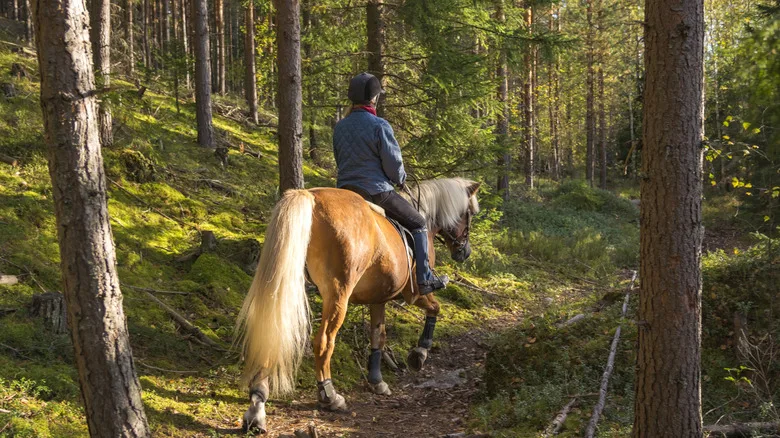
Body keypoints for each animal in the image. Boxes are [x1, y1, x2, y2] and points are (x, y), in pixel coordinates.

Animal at [235, 177, 481, 433]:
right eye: (470, 213)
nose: (464, 252)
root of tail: (311, 196)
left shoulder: (378, 299)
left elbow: (378, 337)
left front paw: (377, 381)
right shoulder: (414, 293)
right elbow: (435, 308)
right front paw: (419, 354)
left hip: (286, 281)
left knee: (272, 332)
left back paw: (257, 406)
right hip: (338, 293)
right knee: (324, 341)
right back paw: (330, 395)